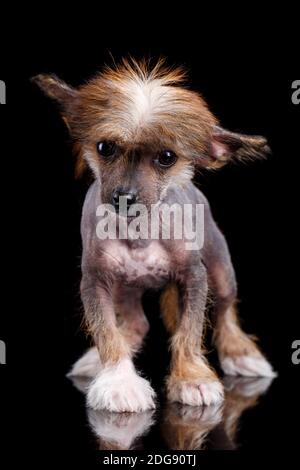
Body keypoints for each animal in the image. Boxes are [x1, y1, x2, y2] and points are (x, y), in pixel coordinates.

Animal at [32, 57, 276, 412]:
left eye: (167, 157)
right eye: (105, 148)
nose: (124, 196)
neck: (140, 231)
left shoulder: (194, 278)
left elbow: (189, 332)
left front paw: (191, 378)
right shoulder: (95, 281)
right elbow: (106, 332)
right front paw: (119, 381)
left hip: (221, 270)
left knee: (225, 310)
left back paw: (240, 354)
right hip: (125, 288)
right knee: (135, 323)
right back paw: (97, 361)